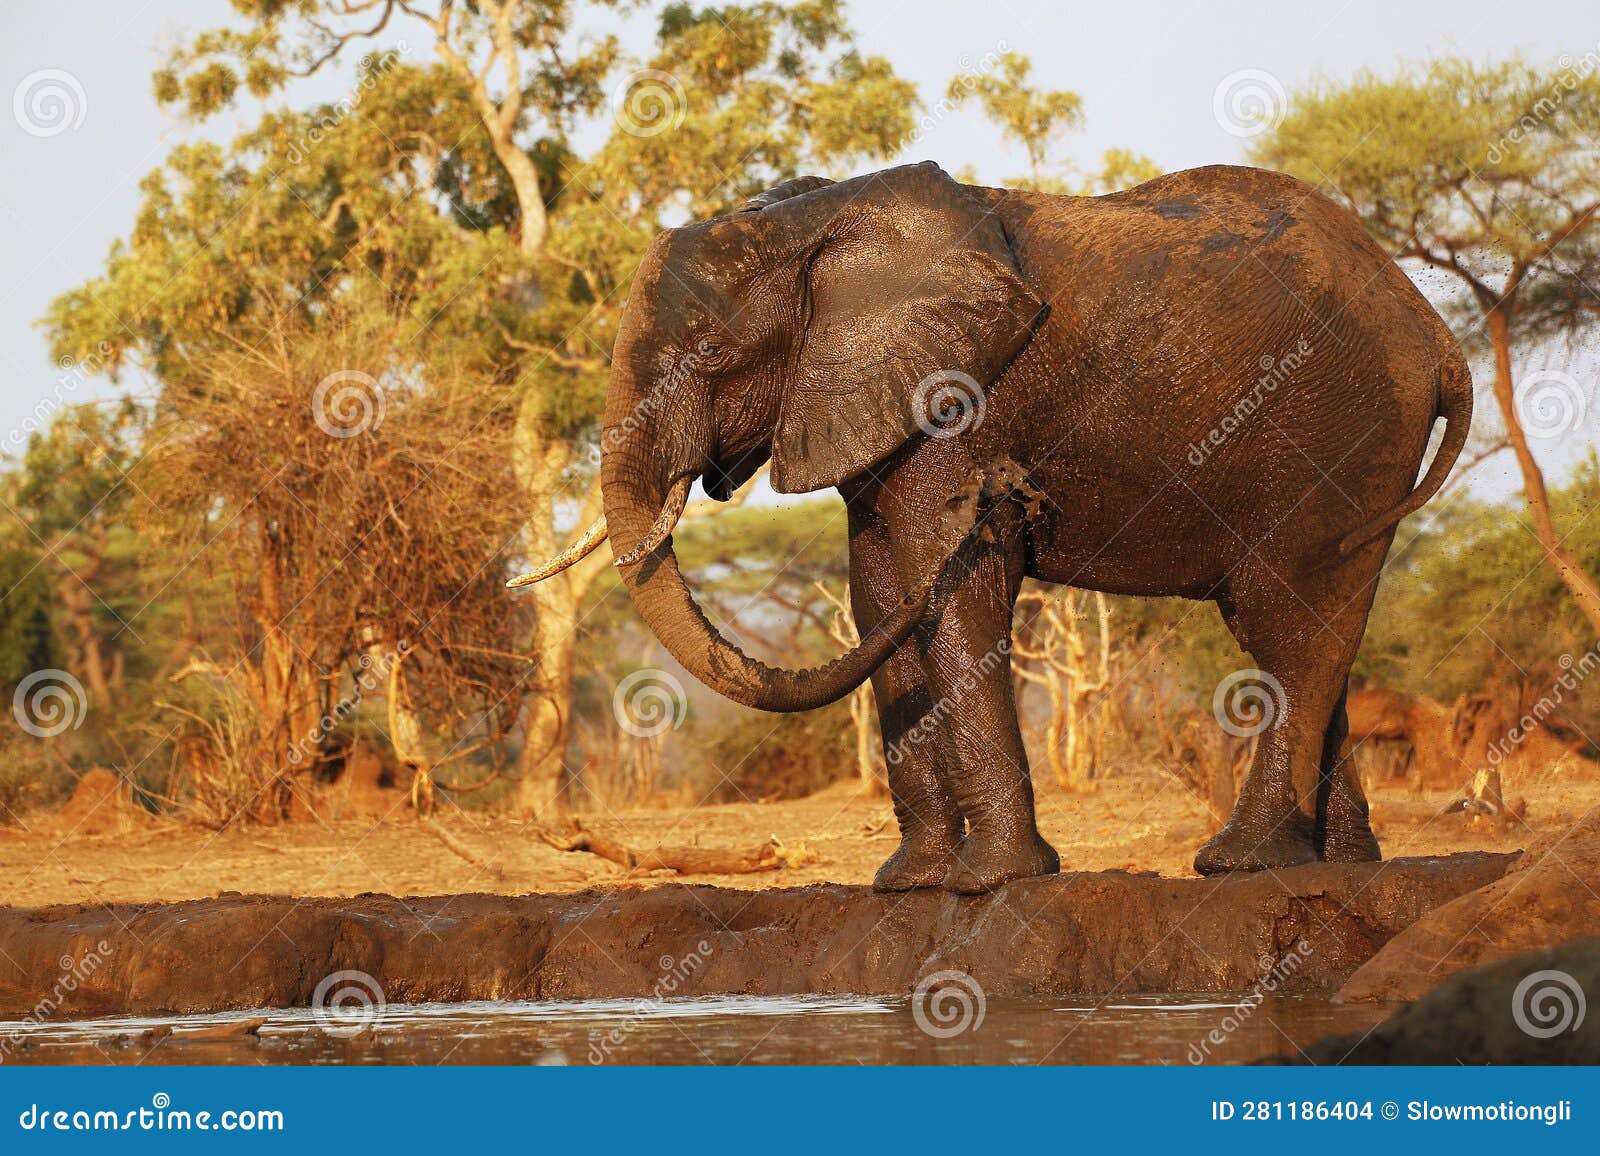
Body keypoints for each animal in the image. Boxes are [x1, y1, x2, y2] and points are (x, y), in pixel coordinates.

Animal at [515, 160, 1472, 890]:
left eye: (712, 355)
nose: (1007, 489)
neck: (815, 225)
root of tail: (1437, 334)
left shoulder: (959, 402)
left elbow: (953, 597)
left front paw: (989, 883)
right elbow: (880, 595)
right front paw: (910, 884)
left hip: (1336, 436)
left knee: (1288, 627)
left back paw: (1240, 863)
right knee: (1311, 629)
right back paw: (1339, 866)